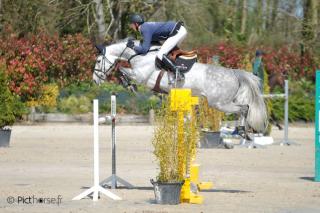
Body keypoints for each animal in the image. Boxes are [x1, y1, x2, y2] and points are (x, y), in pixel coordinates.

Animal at [92, 40, 268, 133]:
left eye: (99, 60)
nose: (95, 80)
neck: (139, 55)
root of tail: (234, 73)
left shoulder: (141, 76)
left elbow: (122, 70)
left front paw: (128, 85)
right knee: (244, 108)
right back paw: (243, 131)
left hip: (219, 103)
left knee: (244, 108)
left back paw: (242, 131)